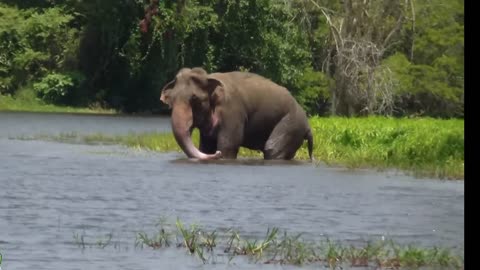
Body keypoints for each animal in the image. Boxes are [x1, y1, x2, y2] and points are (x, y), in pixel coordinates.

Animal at [159, 67, 314, 160]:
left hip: (291, 125)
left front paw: (221, 153)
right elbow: (206, 146)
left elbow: (228, 145)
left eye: (194, 99)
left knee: (272, 149)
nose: (217, 154)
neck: (210, 78)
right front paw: (211, 151)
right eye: (170, 100)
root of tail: (308, 126)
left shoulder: (232, 113)